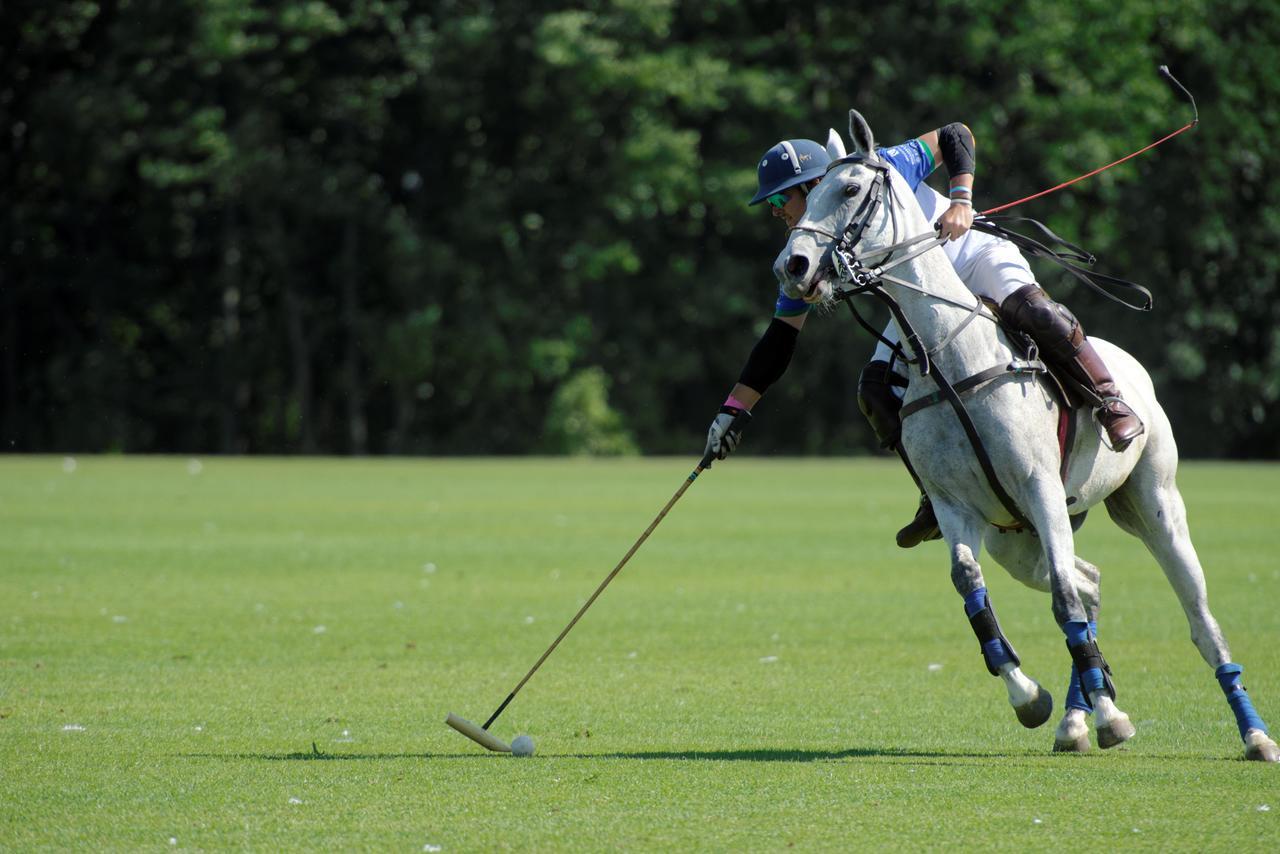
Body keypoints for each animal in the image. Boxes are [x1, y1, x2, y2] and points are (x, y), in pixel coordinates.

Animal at [773, 108, 1274, 763]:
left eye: (852, 190)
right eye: (809, 197)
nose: (793, 268)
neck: (946, 356)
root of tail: (1129, 364)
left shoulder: (1038, 486)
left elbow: (1063, 599)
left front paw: (1106, 709)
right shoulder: (956, 506)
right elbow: (972, 591)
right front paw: (1033, 699)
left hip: (1152, 503)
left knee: (1194, 615)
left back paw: (1253, 733)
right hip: (1015, 538)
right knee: (1089, 583)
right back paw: (1079, 719)